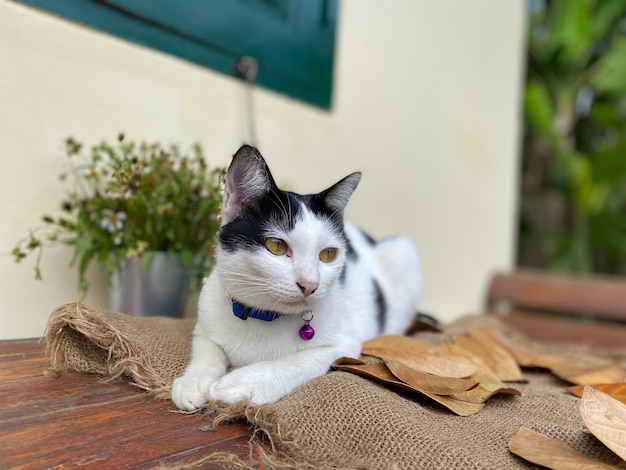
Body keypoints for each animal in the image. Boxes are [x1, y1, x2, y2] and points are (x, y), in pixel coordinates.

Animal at [172, 145, 420, 410]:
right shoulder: (205, 322)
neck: (262, 317)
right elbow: (206, 348)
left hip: (403, 252)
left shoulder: (343, 344)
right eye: (276, 245)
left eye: (328, 254)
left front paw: (244, 384)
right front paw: (193, 382)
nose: (310, 285)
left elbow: (296, 362)